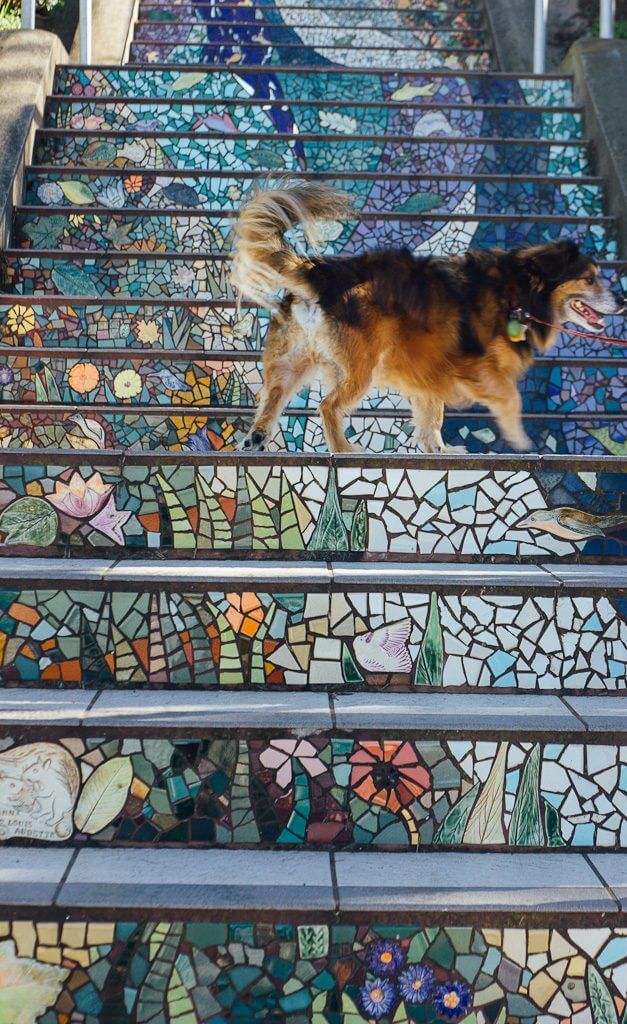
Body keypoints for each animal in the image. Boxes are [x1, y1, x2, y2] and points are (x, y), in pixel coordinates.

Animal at [231, 182, 622, 454]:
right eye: (590, 279)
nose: (622, 300)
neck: (518, 290)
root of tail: (320, 275)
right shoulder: (469, 364)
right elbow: (510, 396)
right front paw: (519, 438)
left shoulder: (430, 369)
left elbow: (432, 415)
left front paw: (439, 450)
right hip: (362, 365)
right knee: (328, 406)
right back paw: (342, 450)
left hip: (295, 359)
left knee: (274, 395)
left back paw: (259, 435)